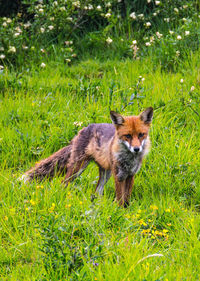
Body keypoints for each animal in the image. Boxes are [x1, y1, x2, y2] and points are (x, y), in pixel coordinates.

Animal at [21, 106, 153, 206]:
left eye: (141, 135)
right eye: (128, 136)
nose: (136, 149)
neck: (129, 159)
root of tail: (83, 129)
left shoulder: (130, 175)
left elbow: (127, 196)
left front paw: (126, 210)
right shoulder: (118, 175)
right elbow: (120, 197)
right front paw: (121, 210)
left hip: (105, 173)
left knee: (97, 191)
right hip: (78, 168)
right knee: (64, 183)